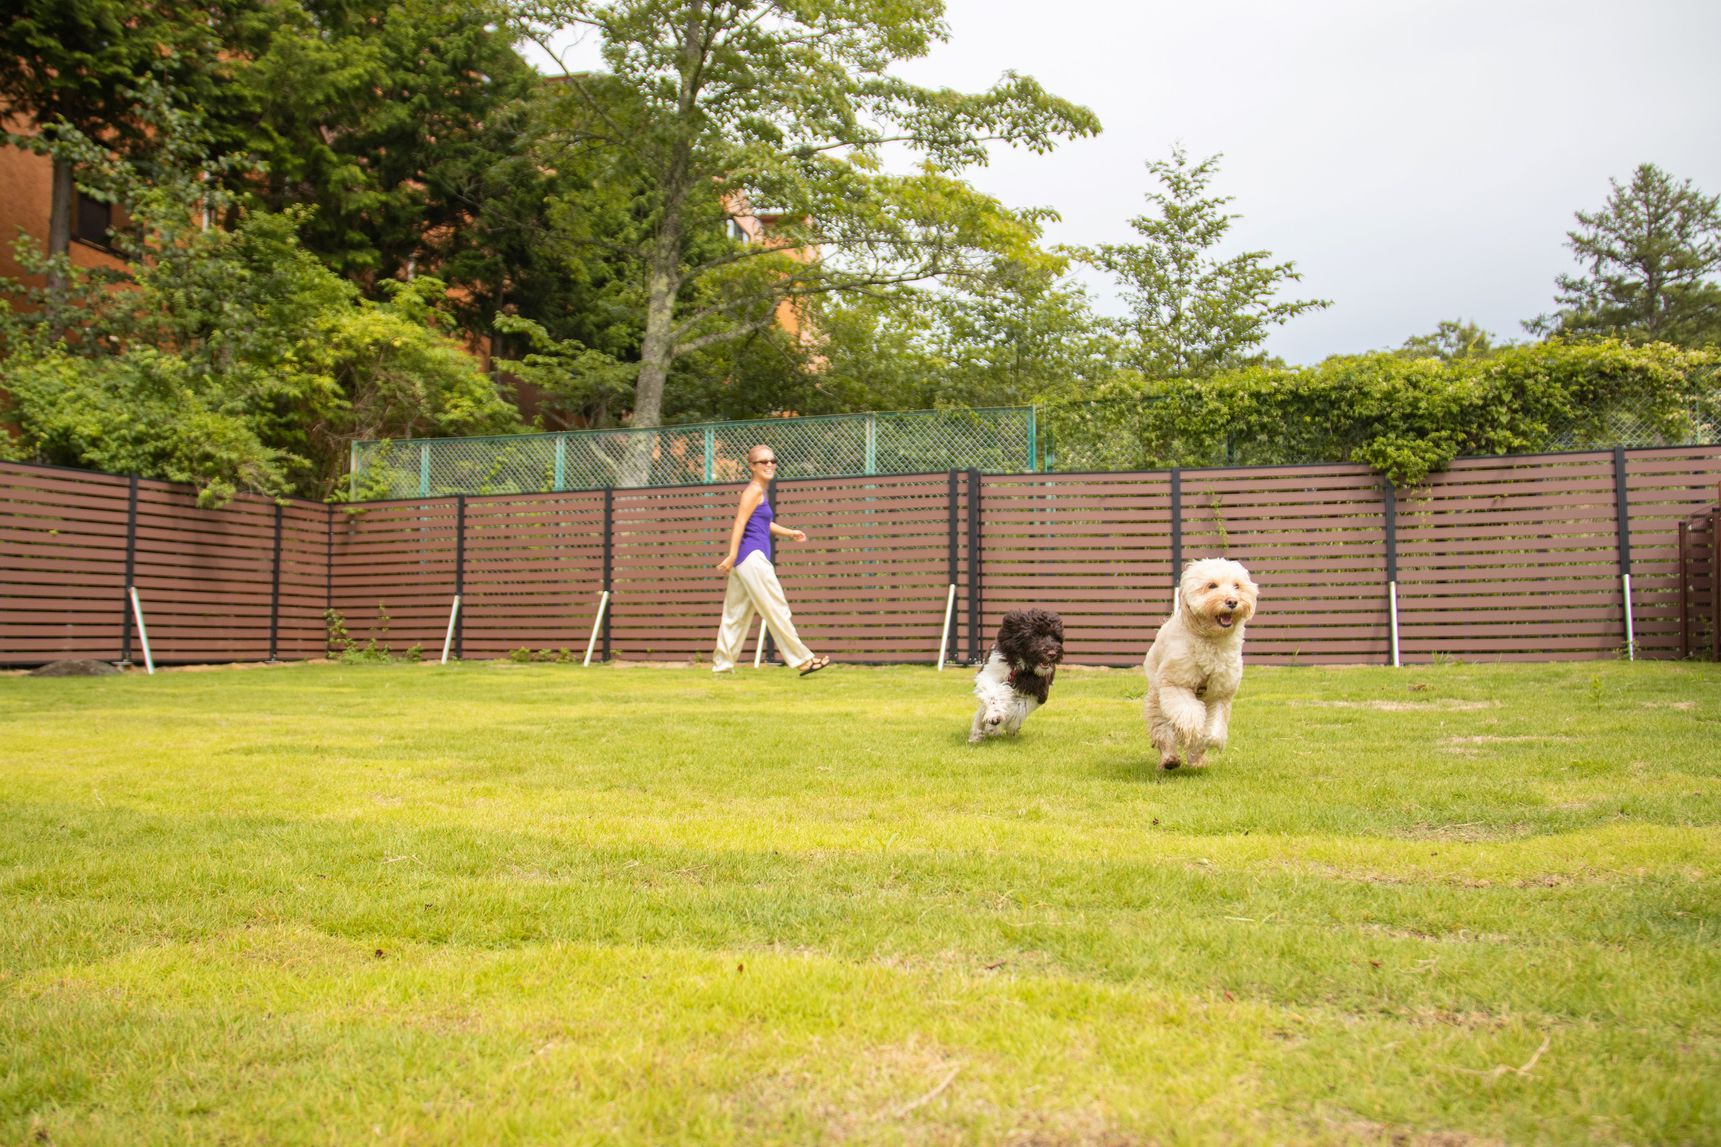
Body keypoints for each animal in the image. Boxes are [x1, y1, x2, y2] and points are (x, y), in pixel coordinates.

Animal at [970, 606, 1060, 740]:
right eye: (1035, 634)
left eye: (1055, 636)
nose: (1052, 653)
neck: (1019, 666)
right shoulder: (990, 674)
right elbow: (993, 695)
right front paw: (994, 715)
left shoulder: (1039, 692)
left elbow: (1018, 707)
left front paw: (1001, 723)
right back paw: (977, 733)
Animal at [1149, 554, 1259, 768]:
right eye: (1212, 586)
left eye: (1237, 586)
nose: (1232, 601)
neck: (1211, 641)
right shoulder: (1175, 683)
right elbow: (1188, 714)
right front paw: (1191, 730)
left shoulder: (1219, 694)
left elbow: (1214, 729)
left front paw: (1204, 740)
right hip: (1157, 700)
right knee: (1164, 730)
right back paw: (1169, 759)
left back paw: (1196, 758)